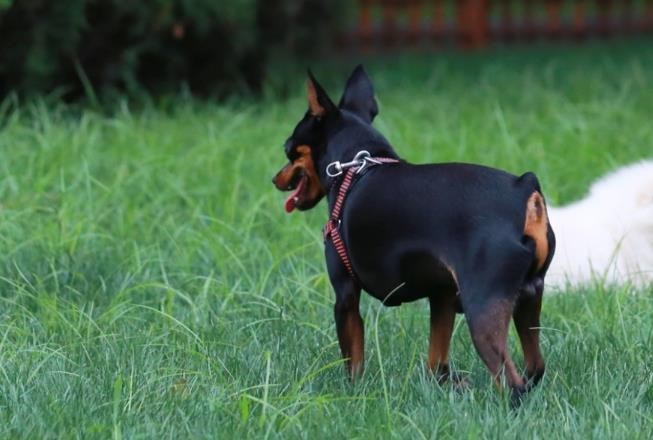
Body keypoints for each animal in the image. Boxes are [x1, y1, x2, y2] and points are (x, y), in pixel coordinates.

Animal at [272, 66, 552, 402]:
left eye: (288, 149)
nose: (275, 178)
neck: (356, 167)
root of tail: (524, 189)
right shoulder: (442, 296)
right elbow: (436, 360)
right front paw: (447, 385)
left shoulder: (345, 296)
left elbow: (353, 360)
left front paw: (353, 396)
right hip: (530, 295)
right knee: (535, 366)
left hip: (483, 307)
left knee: (511, 381)